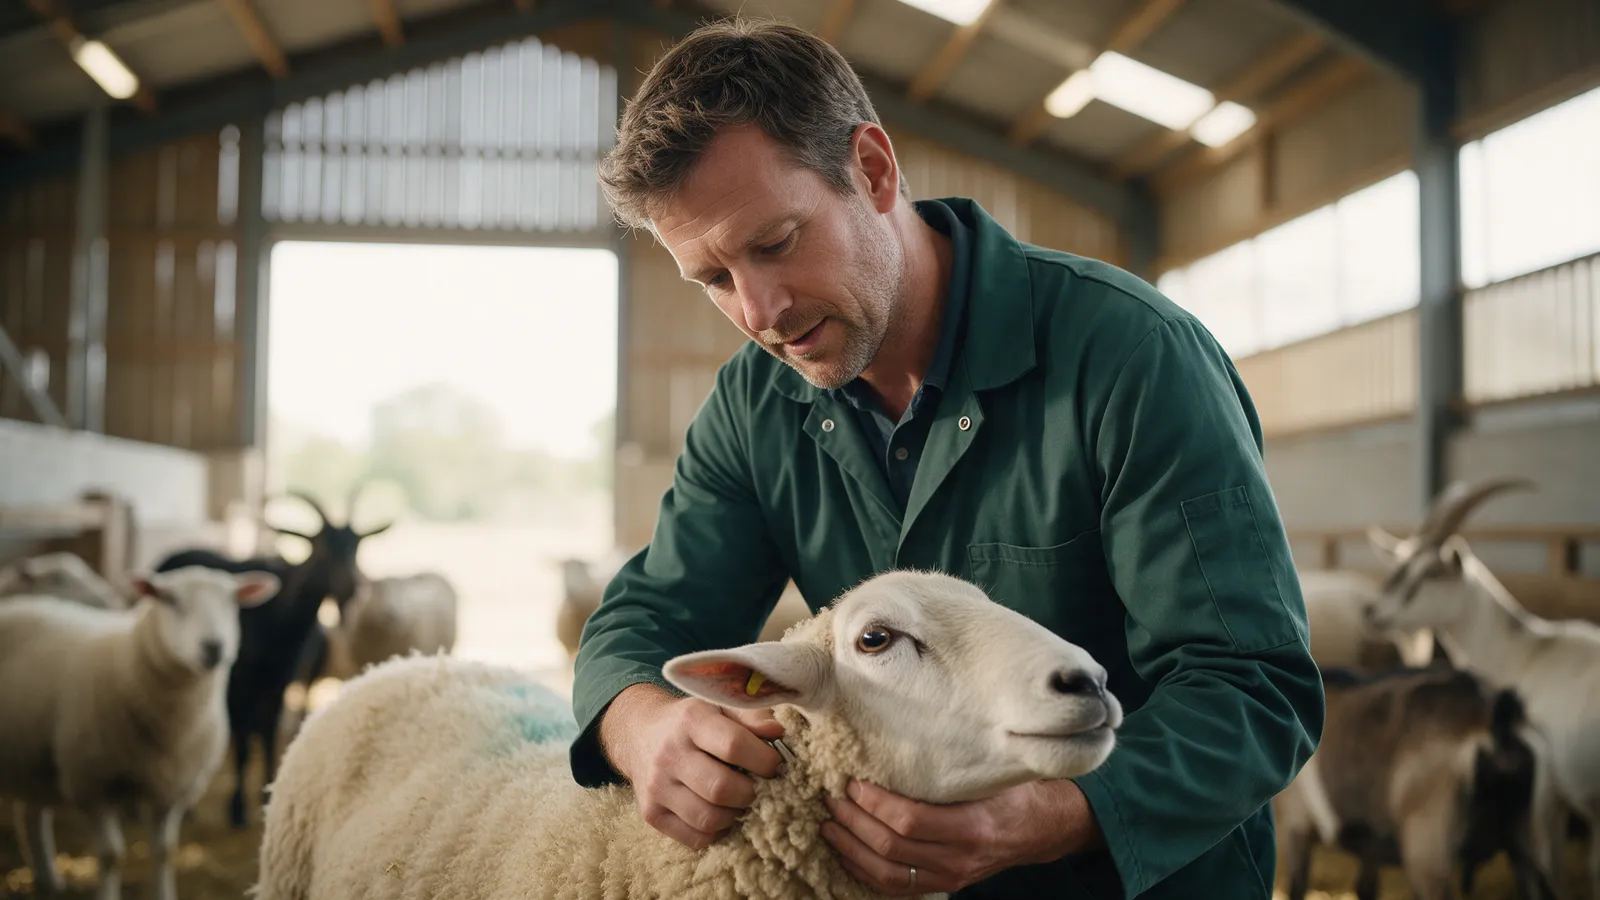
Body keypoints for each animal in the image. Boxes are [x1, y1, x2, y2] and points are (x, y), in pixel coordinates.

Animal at [0, 565, 280, 900]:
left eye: (232, 601)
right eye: (169, 599)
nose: (214, 647)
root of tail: (18, 603)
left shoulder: (172, 789)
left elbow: (165, 852)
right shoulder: (91, 784)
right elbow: (111, 856)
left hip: (32, 755)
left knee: (32, 814)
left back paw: (48, 881)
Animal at [155, 486, 394, 829]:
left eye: (358, 545)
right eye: (320, 547)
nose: (351, 588)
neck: (280, 617)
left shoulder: (280, 680)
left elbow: (268, 733)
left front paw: (267, 796)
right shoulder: (242, 680)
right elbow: (243, 744)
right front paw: (237, 808)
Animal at [1273, 664, 1555, 900]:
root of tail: (1493, 722)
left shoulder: (1296, 825)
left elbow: (1298, 885)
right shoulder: (1371, 842)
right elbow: (1365, 886)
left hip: (1427, 849)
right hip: (1531, 839)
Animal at [1364, 476, 1600, 900]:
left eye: (1429, 573)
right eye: (1398, 566)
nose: (1371, 612)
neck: (1525, 656)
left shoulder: (1547, 798)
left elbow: (1550, 871)